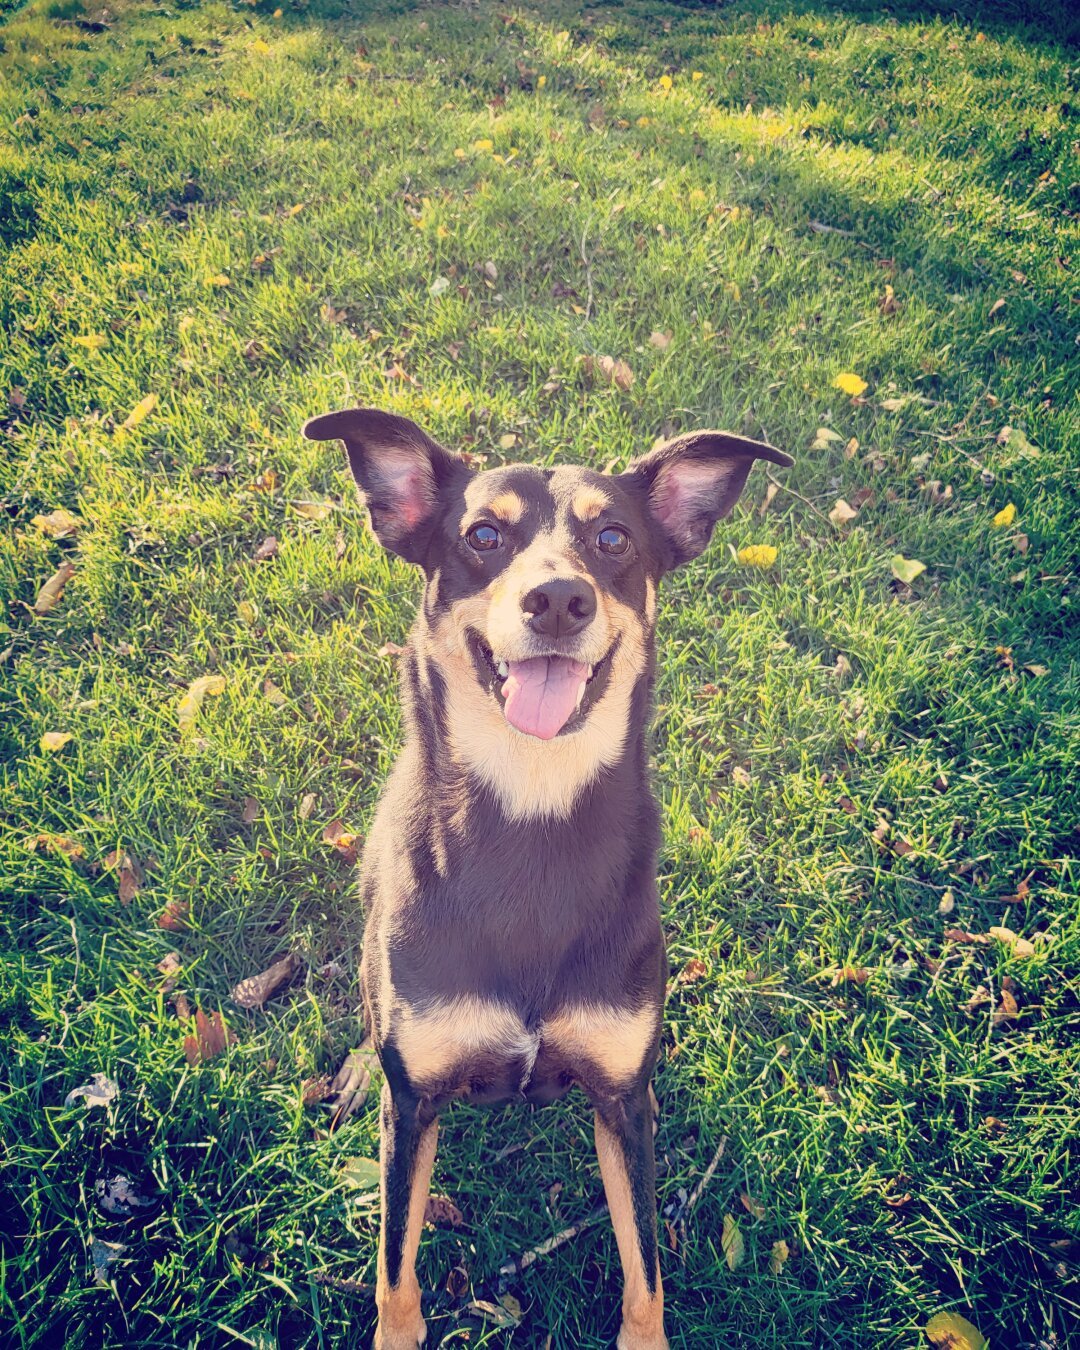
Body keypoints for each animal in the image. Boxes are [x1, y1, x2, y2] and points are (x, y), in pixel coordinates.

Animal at [303, 405, 793, 1344]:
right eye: (483, 535)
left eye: (613, 539)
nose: (560, 599)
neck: (531, 811)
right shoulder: (413, 1109)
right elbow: (394, 1266)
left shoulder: (625, 1100)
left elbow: (646, 1270)